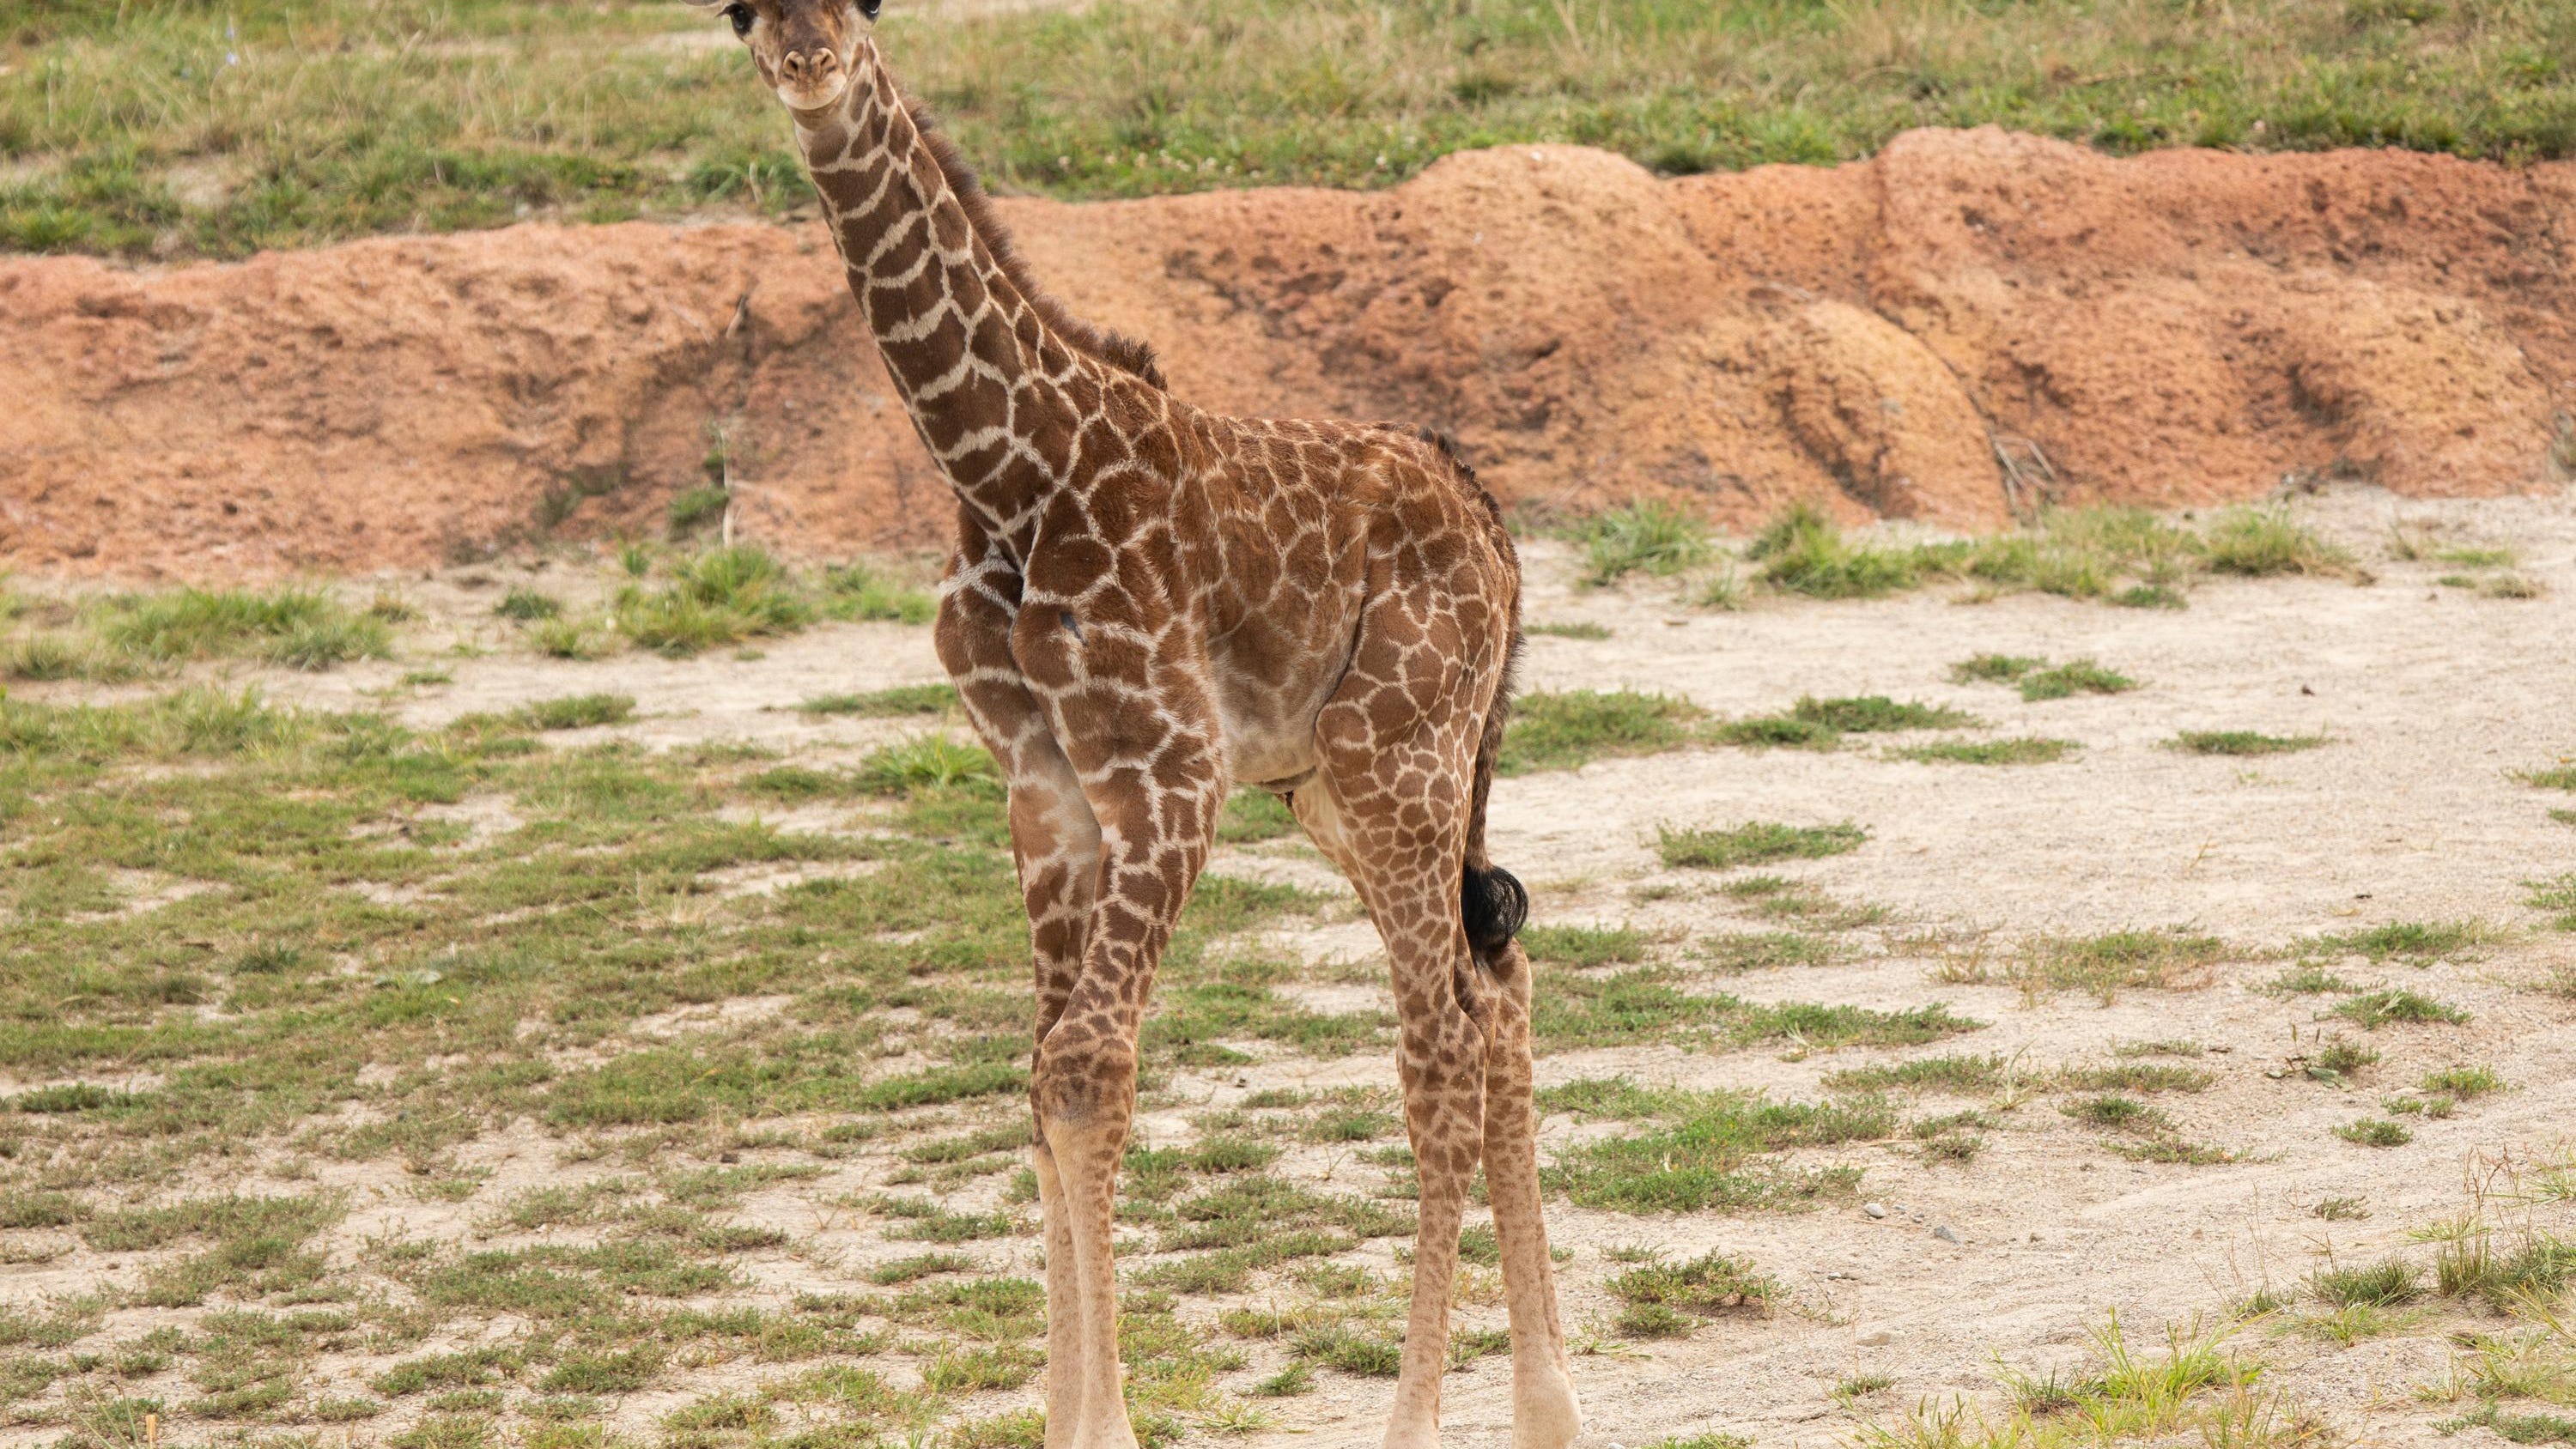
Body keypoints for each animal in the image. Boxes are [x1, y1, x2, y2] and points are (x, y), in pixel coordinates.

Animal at [690, 4, 1583, 1445]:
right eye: (741, 14)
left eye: (867, 8)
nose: (810, 67)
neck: (1010, 474)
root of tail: (1498, 528)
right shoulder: (1041, 781)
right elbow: (1044, 1071)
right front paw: (1068, 1412)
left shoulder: (1171, 772)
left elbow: (1091, 1068)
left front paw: (1099, 1422)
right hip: (1340, 780)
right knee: (1496, 980)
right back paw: (1549, 1405)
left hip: (1400, 750)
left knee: (1439, 1042)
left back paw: (1425, 1417)